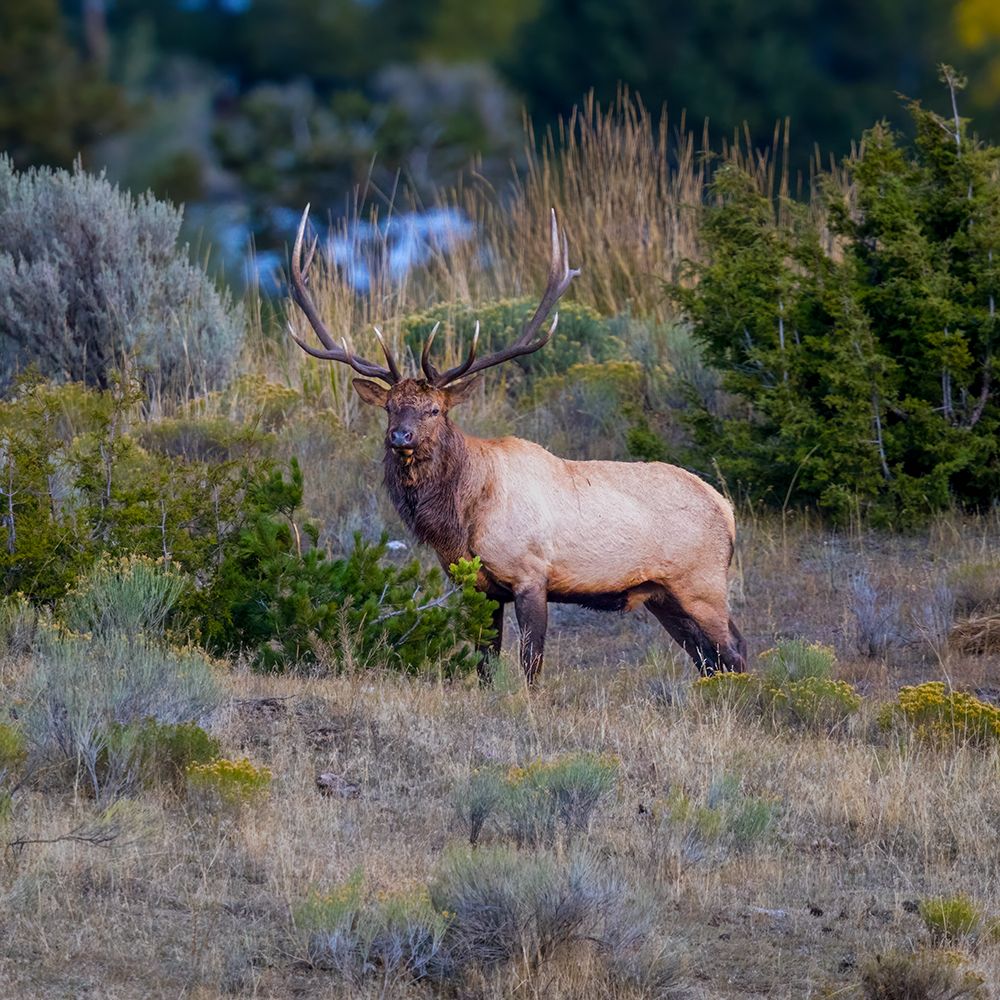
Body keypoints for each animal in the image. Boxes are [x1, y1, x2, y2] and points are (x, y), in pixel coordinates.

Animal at [288, 206, 747, 682]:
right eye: (390, 408)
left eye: (435, 409)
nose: (401, 436)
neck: (462, 521)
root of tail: (727, 509)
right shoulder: (479, 586)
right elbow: (485, 663)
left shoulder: (531, 573)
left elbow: (530, 664)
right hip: (663, 595)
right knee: (707, 657)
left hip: (702, 582)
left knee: (734, 648)